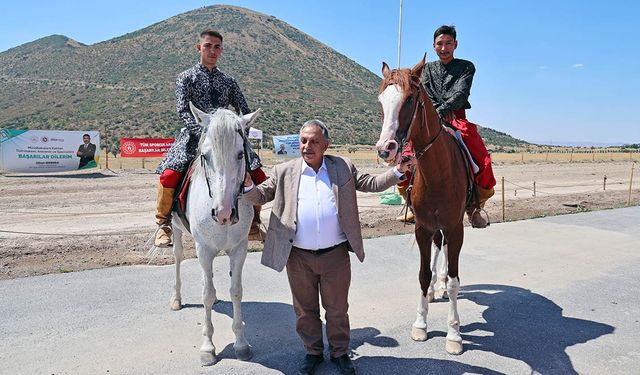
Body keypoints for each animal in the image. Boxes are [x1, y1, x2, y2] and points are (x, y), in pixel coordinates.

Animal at [171, 103, 262, 368]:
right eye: (205, 156)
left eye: (241, 155)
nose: (223, 213)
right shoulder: (204, 249)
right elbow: (206, 294)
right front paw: (208, 348)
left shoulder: (239, 248)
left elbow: (236, 291)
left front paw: (241, 345)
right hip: (176, 230)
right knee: (178, 258)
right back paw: (176, 299)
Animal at [376, 55, 470, 356]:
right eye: (381, 100)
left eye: (409, 100)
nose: (385, 148)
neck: (438, 172)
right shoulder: (423, 227)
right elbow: (421, 274)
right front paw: (420, 324)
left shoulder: (455, 227)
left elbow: (454, 281)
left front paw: (454, 335)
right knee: (439, 247)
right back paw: (432, 289)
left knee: (447, 253)